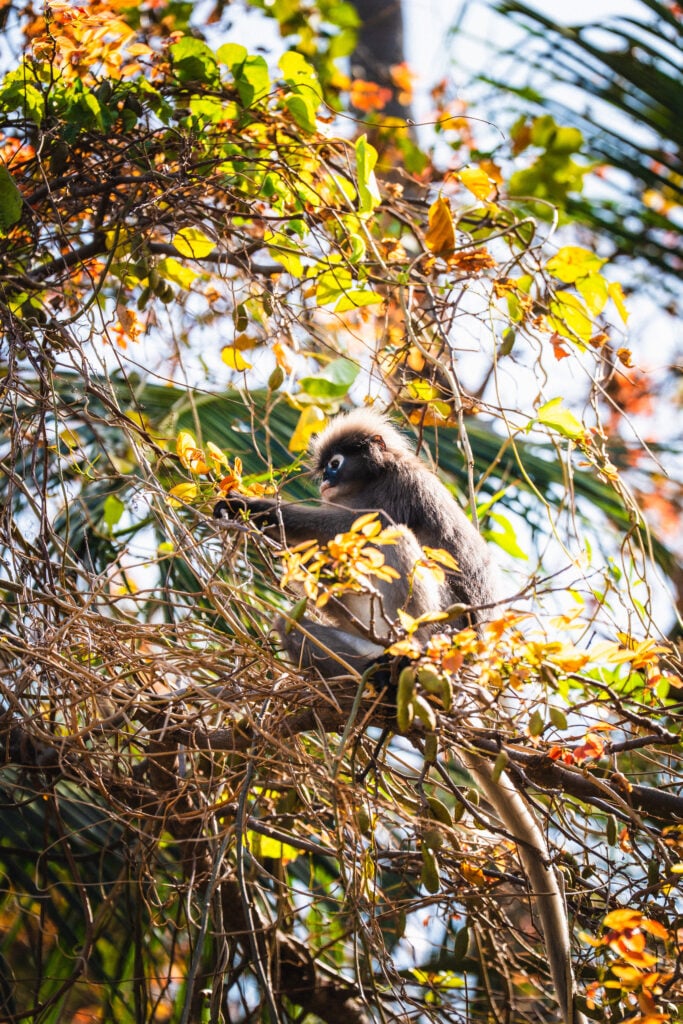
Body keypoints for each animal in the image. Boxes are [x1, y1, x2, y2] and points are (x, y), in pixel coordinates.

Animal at [214, 409, 585, 1024]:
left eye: (336, 463)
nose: (324, 481)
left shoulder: (403, 491)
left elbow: (364, 523)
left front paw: (251, 507)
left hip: (443, 638)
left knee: (391, 535)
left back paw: (402, 662)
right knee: (298, 627)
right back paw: (369, 677)